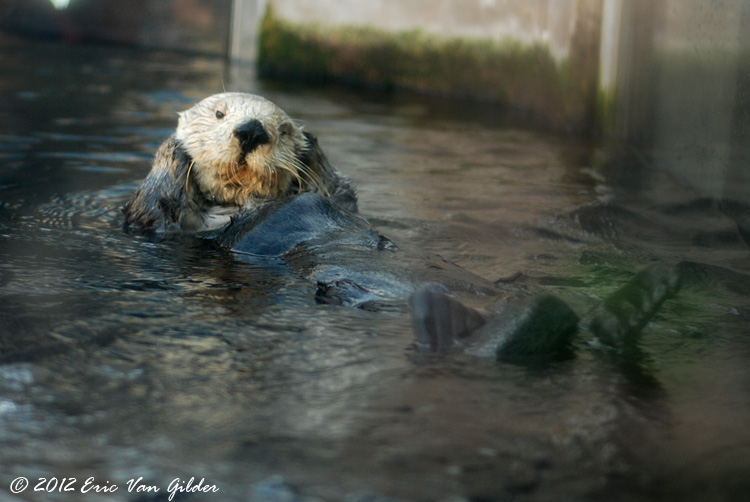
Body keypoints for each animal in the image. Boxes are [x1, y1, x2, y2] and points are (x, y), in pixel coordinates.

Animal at [124, 92, 681, 362]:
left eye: (280, 128)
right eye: (220, 113)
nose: (251, 130)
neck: (245, 204)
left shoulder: (337, 197)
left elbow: (339, 194)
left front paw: (315, 154)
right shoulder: (163, 230)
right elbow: (155, 211)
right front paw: (172, 154)